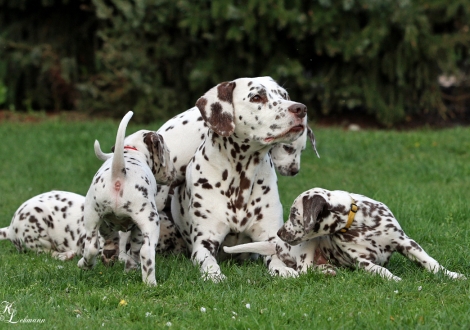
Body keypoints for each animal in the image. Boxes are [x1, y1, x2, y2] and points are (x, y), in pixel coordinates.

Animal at [78, 111, 175, 286]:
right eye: (168, 153)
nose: (174, 172)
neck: (133, 151)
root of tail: (119, 173)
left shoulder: (106, 221)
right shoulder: (136, 227)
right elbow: (133, 249)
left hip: (92, 215)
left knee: (91, 247)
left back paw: (85, 264)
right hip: (148, 220)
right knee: (145, 252)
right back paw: (148, 282)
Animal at [171, 76, 310, 282]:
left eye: (284, 95)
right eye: (257, 97)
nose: (300, 108)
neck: (240, 179)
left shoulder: (270, 237)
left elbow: (276, 256)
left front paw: (283, 270)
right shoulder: (204, 243)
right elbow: (208, 262)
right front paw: (214, 274)